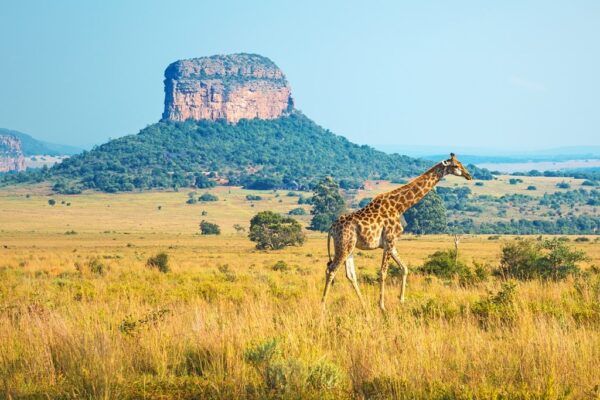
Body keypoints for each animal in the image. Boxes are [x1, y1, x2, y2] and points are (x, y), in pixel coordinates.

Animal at [322, 152, 472, 310]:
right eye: (455, 166)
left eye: (461, 163)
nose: (468, 175)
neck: (400, 206)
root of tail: (331, 228)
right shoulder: (389, 240)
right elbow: (383, 272)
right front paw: (382, 306)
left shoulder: (391, 243)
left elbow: (404, 268)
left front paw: (401, 300)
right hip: (344, 245)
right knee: (331, 270)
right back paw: (323, 306)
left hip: (349, 247)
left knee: (350, 275)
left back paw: (364, 305)